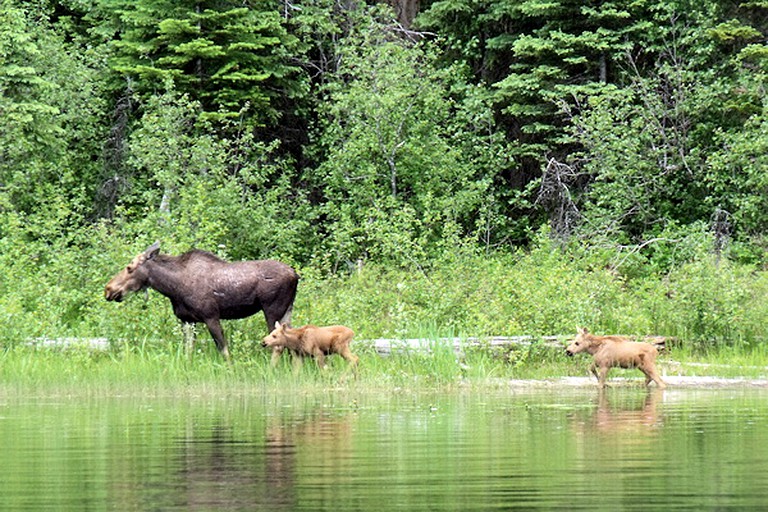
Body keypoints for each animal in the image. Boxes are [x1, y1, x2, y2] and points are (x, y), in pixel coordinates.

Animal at [106, 242, 298, 362]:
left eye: (129, 268)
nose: (108, 289)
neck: (173, 289)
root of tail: (296, 275)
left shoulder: (211, 316)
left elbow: (224, 350)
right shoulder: (187, 320)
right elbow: (188, 350)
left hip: (272, 309)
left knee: (278, 345)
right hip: (287, 309)